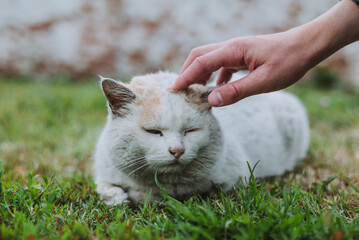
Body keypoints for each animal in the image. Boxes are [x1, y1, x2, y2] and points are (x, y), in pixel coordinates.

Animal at [94, 71, 310, 204]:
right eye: (153, 131)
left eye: (190, 131)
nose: (177, 150)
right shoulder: (103, 172)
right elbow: (104, 188)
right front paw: (118, 197)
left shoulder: (233, 180)